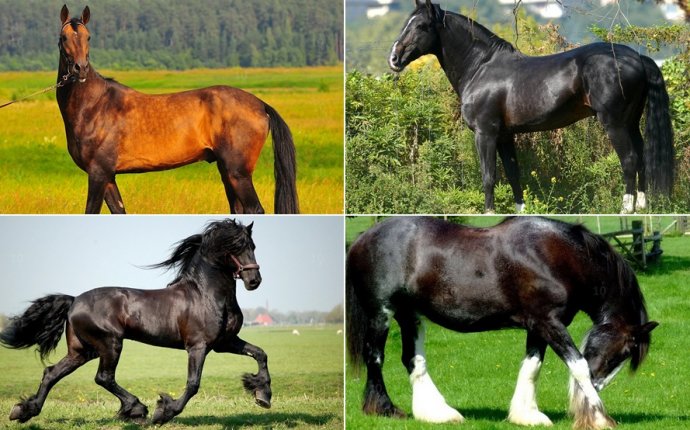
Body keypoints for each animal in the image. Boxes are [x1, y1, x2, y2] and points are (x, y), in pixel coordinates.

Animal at [0, 219, 271, 425]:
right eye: (234, 247)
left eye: (253, 245)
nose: (254, 280)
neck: (206, 295)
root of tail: (74, 300)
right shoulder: (198, 346)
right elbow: (193, 383)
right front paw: (164, 412)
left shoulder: (225, 342)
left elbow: (260, 353)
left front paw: (263, 394)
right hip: (110, 344)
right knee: (103, 377)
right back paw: (137, 409)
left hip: (82, 350)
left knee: (52, 373)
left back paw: (23, 411)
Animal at [56, 5, 298, 214]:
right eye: (64, 37)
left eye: (88, 37)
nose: (80, 68)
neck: (95, 106)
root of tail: (260, 104)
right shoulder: (108, 177)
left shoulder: (98, 173)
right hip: (227, 171)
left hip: (238, 173)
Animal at [347, 216, 658, 429]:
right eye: (623, 351)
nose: (597, 386)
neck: (556, 256)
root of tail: (363, 238)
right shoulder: (550, 323)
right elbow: (579, 365)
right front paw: (599, 417)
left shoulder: (538, 326)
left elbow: (532, 366)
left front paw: (527, 415)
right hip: (382, 313)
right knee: (375, 357)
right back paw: (385, 409)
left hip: (410, 315)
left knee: (413, 359)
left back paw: (438, 412)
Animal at [389, 0, 674, 214]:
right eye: (405, 23)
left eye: (422, 25)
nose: (394, 58)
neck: (481, 67)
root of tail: (636, 57)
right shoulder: (505, 136)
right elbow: (514, 174)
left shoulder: (485, 133)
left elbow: (489, 176)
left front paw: (489, 213)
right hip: (631, 122)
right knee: (641, 157)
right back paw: (643, 206)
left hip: (614, 123)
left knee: (629, 159)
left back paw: (626, 209)